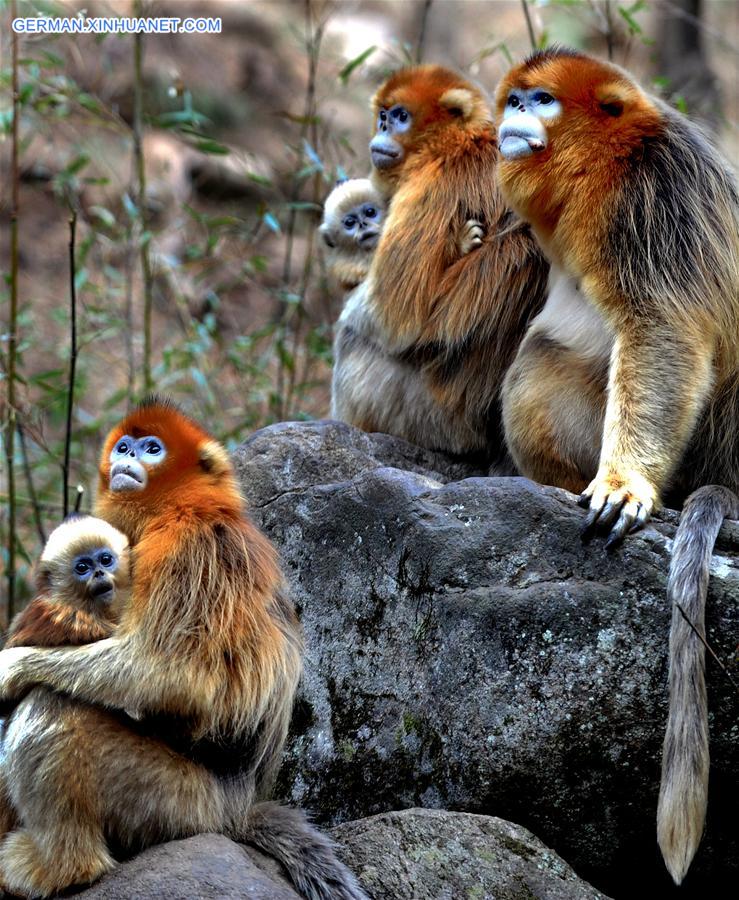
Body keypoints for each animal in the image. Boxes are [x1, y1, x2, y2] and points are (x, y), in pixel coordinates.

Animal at [332, 63, 548, 460]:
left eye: (401, 117)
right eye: (383, 115)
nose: (382, 129)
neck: (458, 141)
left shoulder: (430, 183)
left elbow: (393, 317)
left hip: (424, 418)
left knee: (354, 339)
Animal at [492, 45, 739, 884]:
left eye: (539, 100)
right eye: (514, 99)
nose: (511, 117)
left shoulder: (653, 197)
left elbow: (664, 330)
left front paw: (627, 486)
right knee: (539, 355)